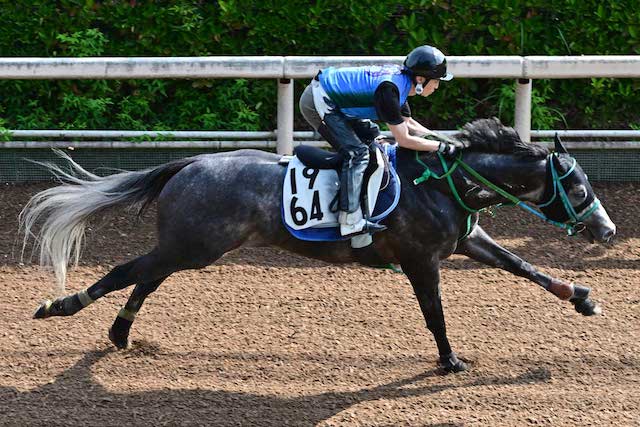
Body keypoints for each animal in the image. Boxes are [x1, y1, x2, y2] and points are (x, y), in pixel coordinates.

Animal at [20, 118, 616, 372]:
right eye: (579, 186)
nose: (607, 231)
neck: (441, 182)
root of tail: (191, 163)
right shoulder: (420, 259)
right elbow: (435, 312)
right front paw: (449, 360)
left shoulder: (467, 242)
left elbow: (523, 265)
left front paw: (584, 297)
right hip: (193, 245)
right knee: (127, 270)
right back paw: (59, 305)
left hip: (192, 246)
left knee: (146, 276)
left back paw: (120, 334)